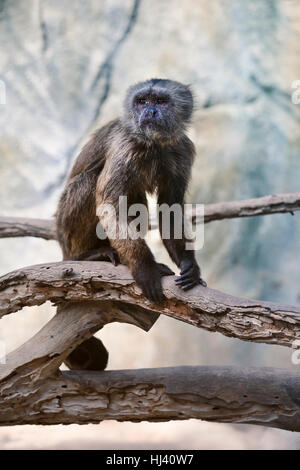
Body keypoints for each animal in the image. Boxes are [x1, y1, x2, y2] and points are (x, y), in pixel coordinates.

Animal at [56, 78, 206, 370]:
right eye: (142, 101)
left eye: (160, 101)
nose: (149, 112)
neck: (154, 144)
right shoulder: (126, 145)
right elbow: (109, 202)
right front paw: (144, 267)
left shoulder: (182, 149)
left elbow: (169, 207)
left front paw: (188, 263)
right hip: (66, 233)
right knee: (91, 182)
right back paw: (87, 256)